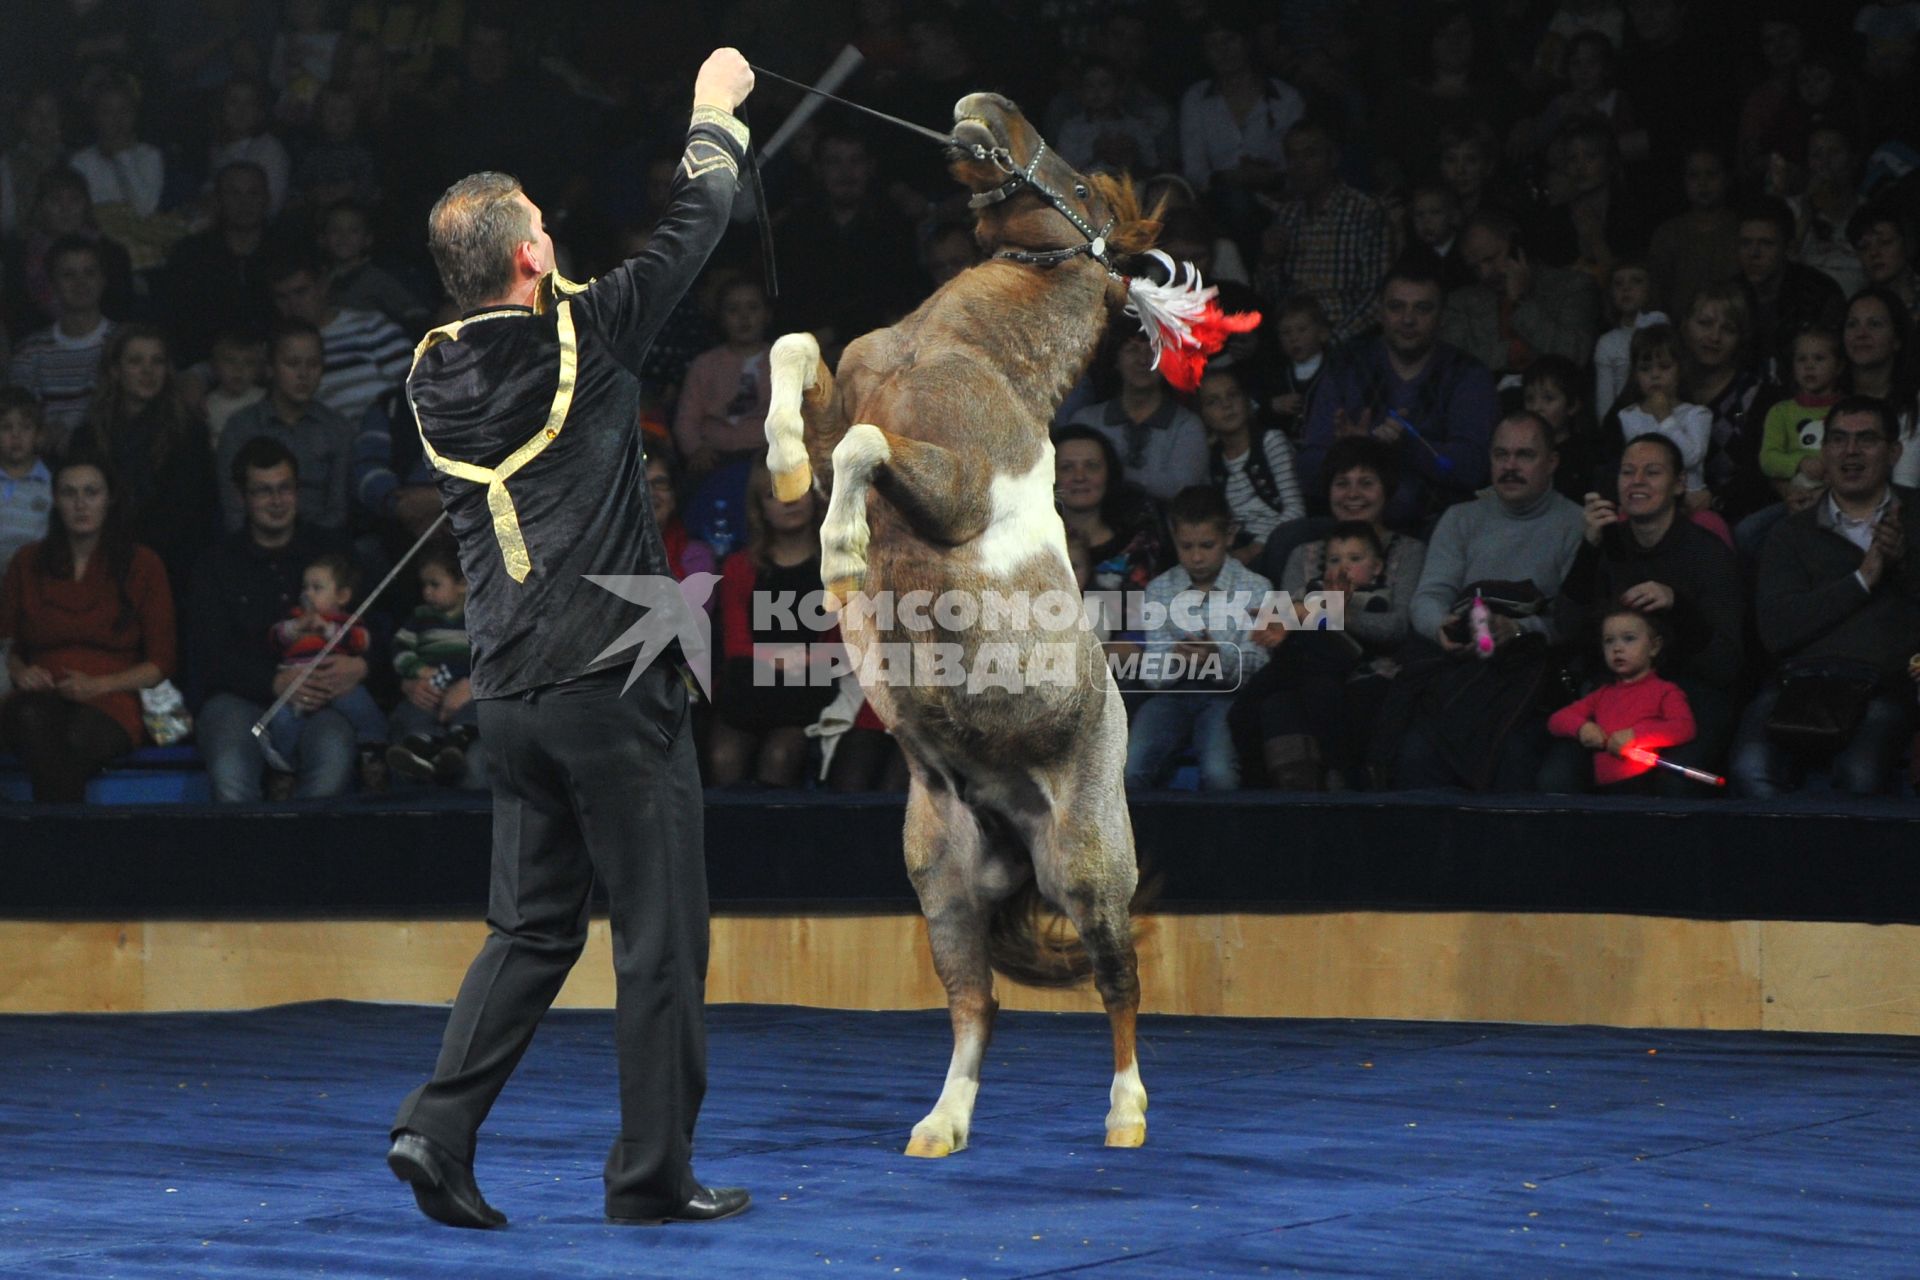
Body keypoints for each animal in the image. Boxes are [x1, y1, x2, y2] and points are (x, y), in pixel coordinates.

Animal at [760, 90, 1152, 1151]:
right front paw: (783, 467)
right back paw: (941, 1125)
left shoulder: (951, 487)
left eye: (1081, 187)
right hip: (944, 882)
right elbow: (799, 364)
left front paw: (842, 554)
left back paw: (1127, 1116)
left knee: (1118, 980)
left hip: (1088, 871)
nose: (983, 111)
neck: (967, 351)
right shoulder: (850, 394)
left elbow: (860, 444)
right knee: (979, 1004)